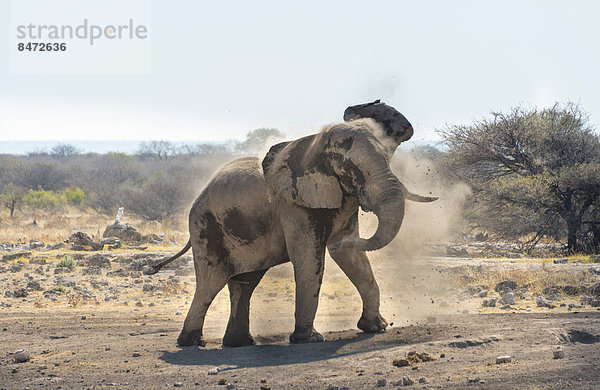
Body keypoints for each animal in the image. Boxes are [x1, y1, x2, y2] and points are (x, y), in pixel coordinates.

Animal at [145, 100, 436, 348]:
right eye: (352, 169)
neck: (316, 144)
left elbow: (351, 258)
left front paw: (376, 328)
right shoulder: (294, 204)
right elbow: (309, 257)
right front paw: (309, 339)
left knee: (244, 283)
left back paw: (240, 343)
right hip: (206, 227)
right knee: (210, 282)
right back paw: (191, 343)